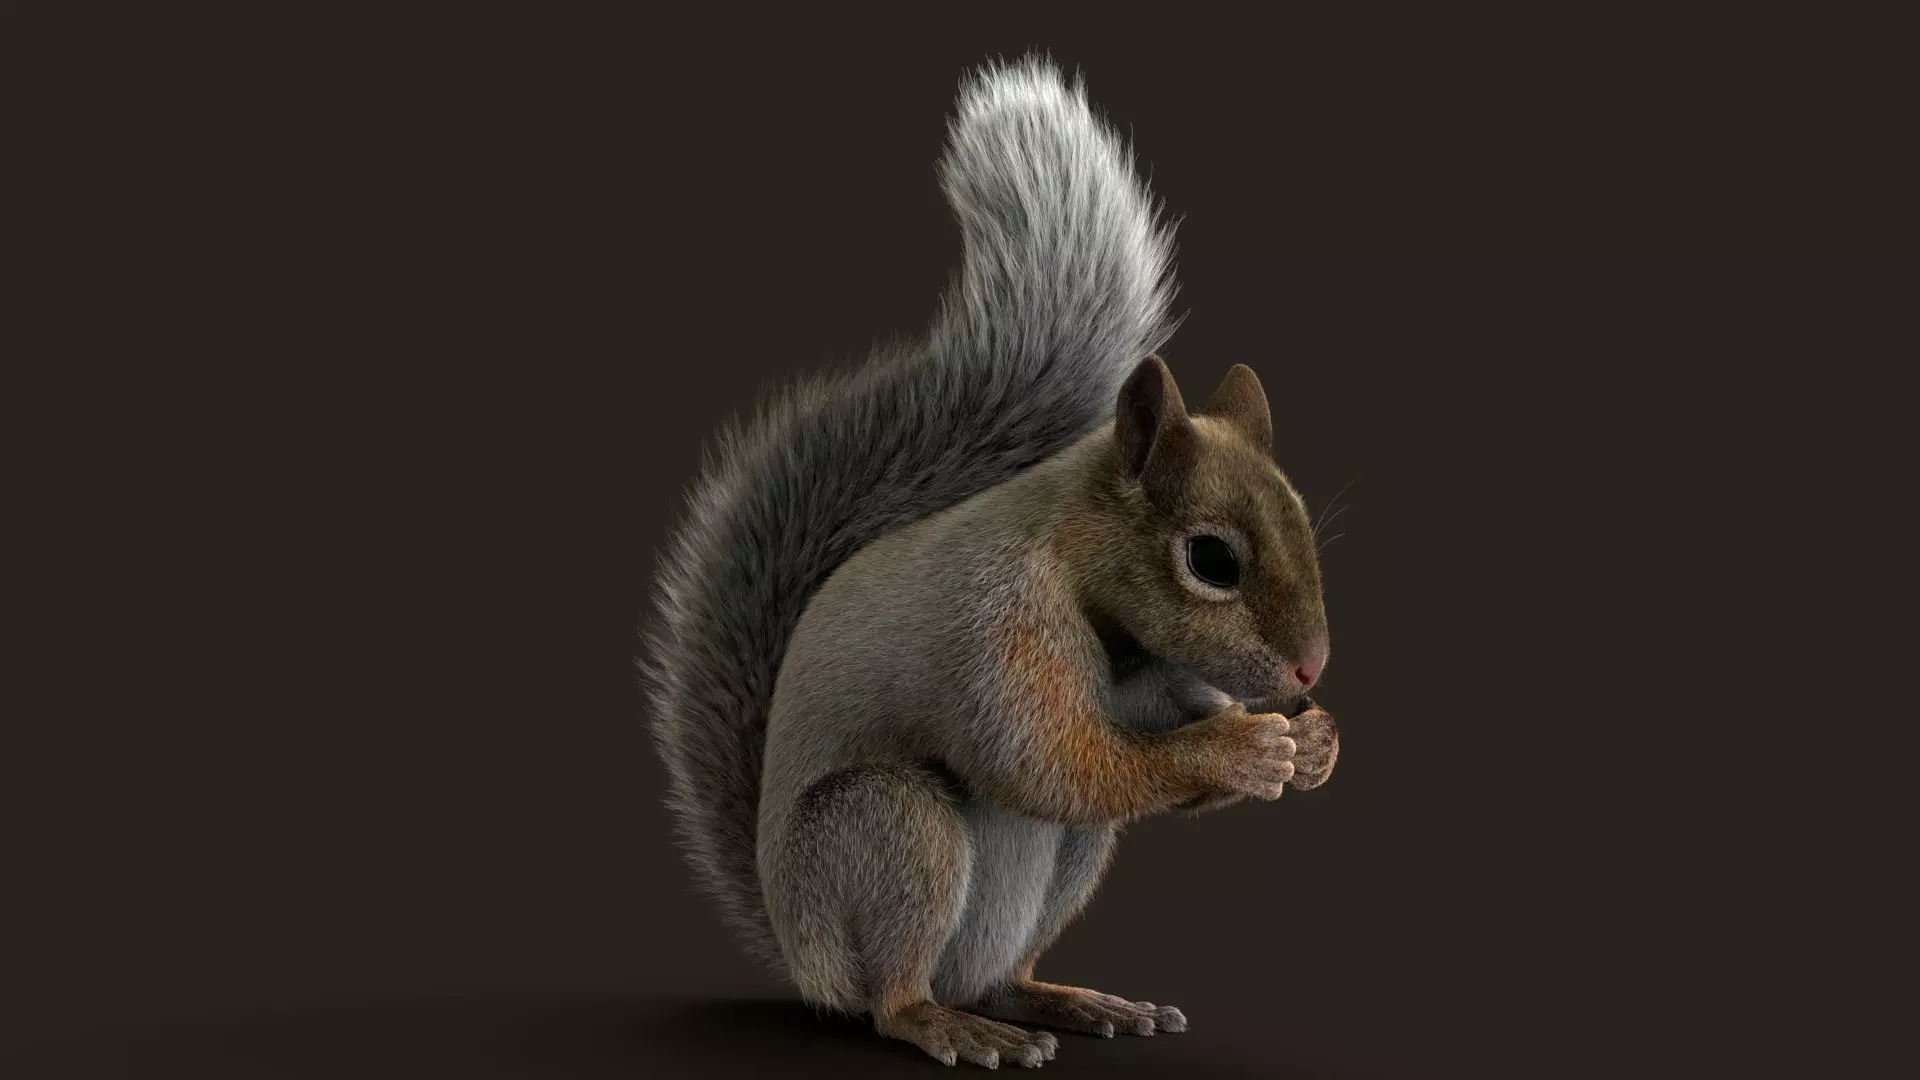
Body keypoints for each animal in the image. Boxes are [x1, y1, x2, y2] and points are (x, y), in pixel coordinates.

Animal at [643, 56, 1338, 1069]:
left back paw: (1062, 1000)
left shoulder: (1156, 679)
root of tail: (802, 955)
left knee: (1005, 961)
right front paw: (1243, 745)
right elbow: (1052, 764)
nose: (1311, 670)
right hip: (890, 829)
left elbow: (1109, 766)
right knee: (892, 990)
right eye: (1211, 559)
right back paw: (944, 1023)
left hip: (1069, 860)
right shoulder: (997, 625)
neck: (1108, 622)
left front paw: (1315, 748)